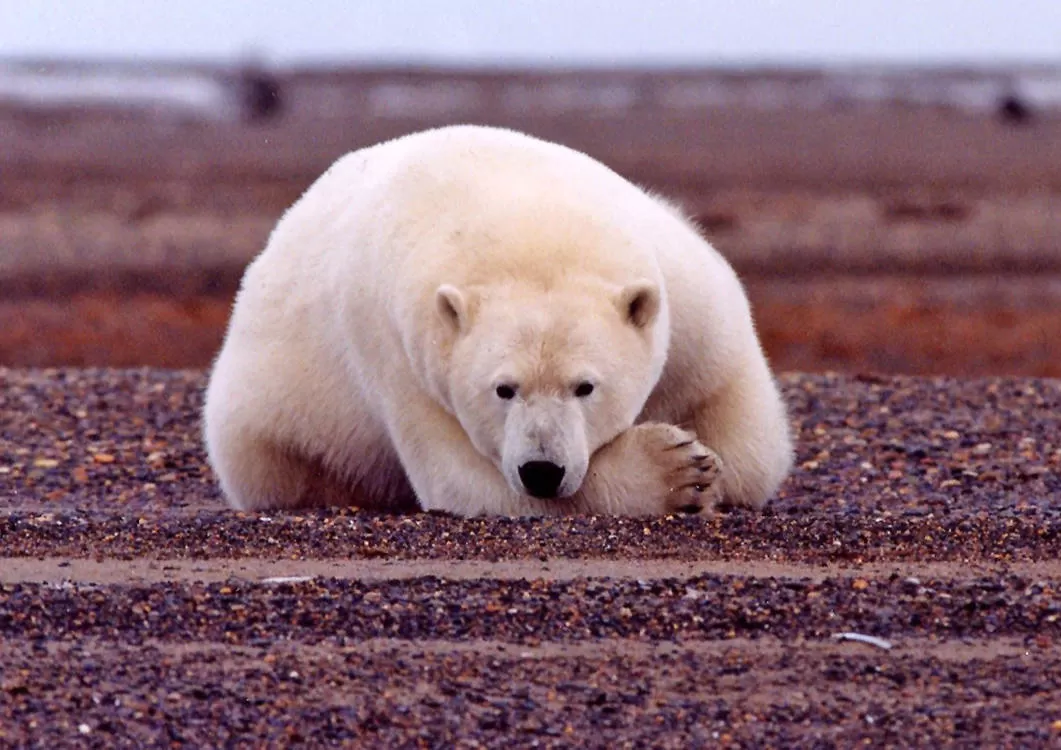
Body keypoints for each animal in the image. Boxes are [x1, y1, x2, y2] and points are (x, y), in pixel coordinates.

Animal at [202, 126, 793, 519]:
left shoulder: (687, 293)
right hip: (269, 420)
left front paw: (709, 464)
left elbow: (747, 435)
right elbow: (465, 481)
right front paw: (677, 469)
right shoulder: (402, 355)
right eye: (504, 389)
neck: (527, 221)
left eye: (585, 386)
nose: (542, 470)